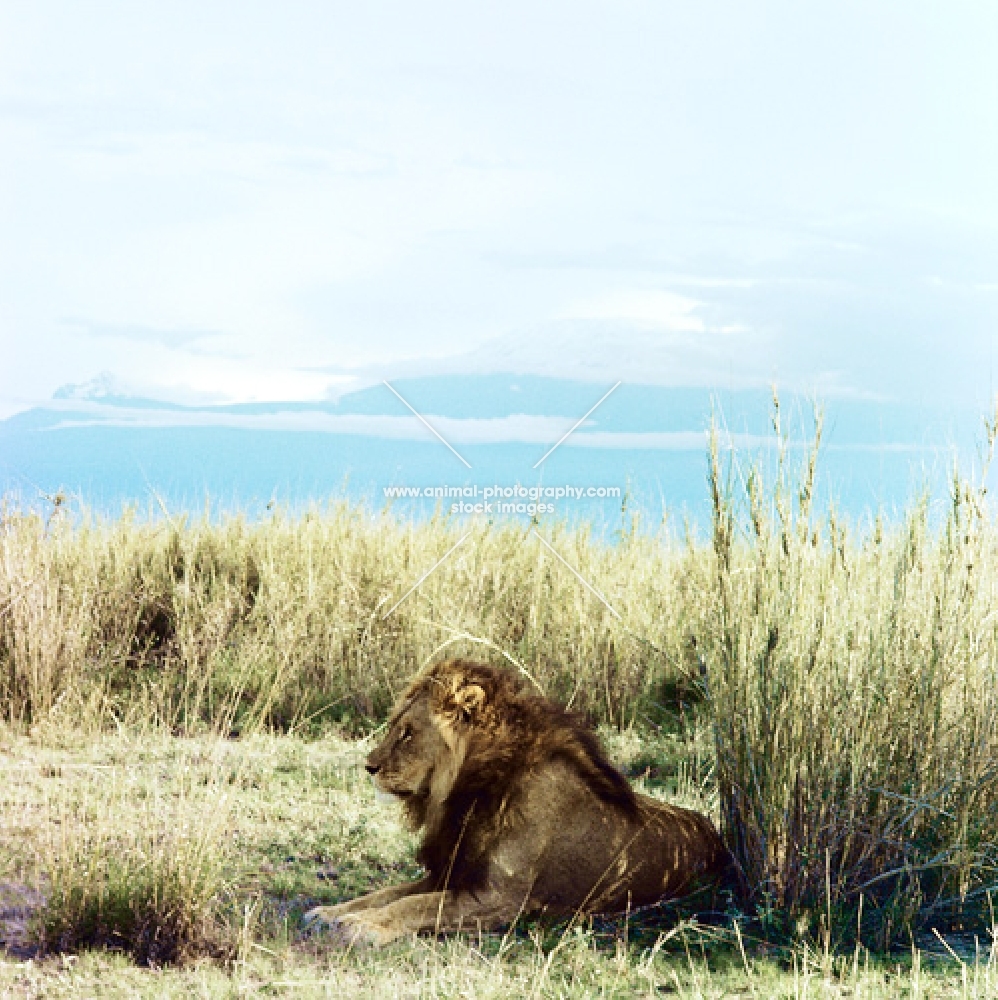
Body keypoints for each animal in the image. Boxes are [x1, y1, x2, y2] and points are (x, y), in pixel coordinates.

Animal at [300, 660, 732, 948]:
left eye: (407, 733)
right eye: (394, 728)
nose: (368, 766)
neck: (465, 792)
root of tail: (715, 835)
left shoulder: (497, 898)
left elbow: (416, 906)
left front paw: (362, 926)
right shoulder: (449, 873)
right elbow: (387, 893)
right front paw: (330, 913)